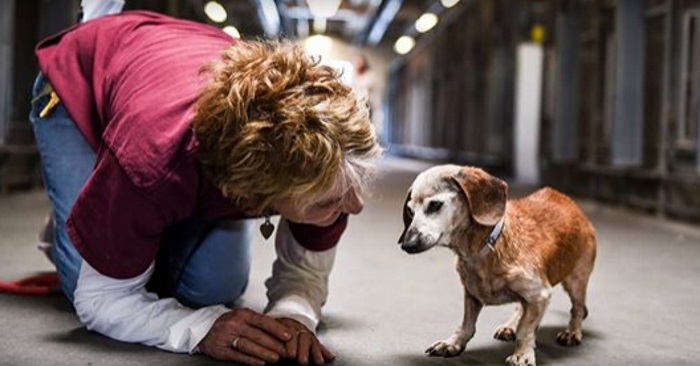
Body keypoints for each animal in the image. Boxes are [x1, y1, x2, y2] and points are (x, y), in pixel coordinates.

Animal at [400, 165, 596, 366]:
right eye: (410, 211)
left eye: (434, 205)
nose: (406, 245)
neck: (485, 247)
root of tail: (572, 204)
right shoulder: (472, 295)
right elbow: (466, 325)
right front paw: (453, 343)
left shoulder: (540, 294)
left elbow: (525, 330)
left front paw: (522, 354)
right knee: (520, 308)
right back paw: (510, 326)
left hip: (576, 281)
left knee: (577, 308)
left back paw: (572, 332)